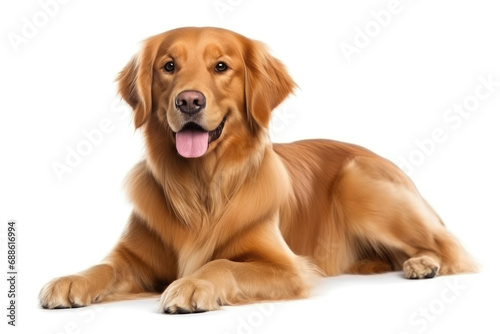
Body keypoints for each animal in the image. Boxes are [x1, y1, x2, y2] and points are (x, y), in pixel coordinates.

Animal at [38, 26, 472, 314]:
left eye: (221, 66)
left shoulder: (286, 267)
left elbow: (221, 263)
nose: (189, 101)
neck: (200, 185)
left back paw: (423, 264)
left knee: (448, 247)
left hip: (358, 183)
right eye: (168, 66)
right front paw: (71, 279)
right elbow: (105, 266)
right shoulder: (134, 257)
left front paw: (193, 285)